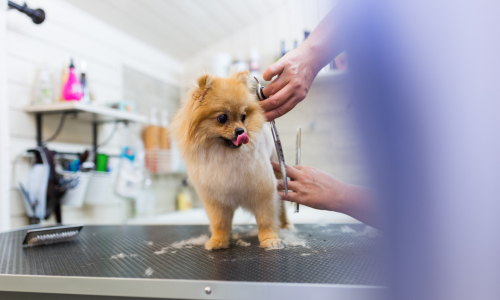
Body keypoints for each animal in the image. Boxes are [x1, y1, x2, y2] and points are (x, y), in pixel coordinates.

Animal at [172, 71, 292, 251]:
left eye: (243, 117)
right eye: (222, 118)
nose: (241, 131)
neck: (226, 154)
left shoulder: (263, 192)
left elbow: (266, 219)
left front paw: (269, 239)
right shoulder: (217, 199)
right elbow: (220, 223)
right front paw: (218, 241)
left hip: (278, 174)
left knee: (282, 208)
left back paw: (285, 225)